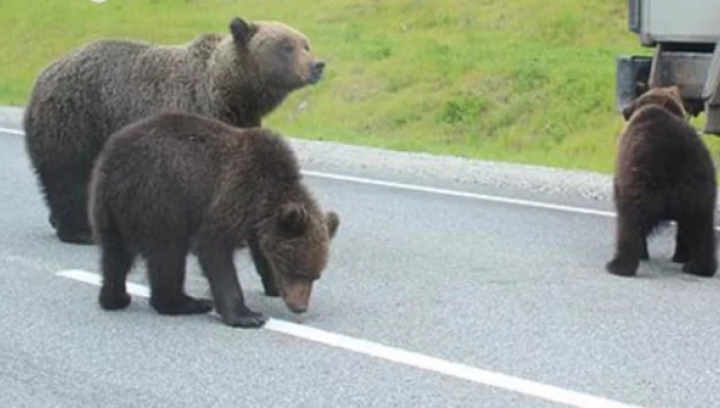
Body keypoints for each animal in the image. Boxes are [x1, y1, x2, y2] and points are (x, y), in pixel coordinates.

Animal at [23, 17, 324, 244]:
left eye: (305, 44)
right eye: (287, 46)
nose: (317, 66)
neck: (234, 95)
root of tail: (43, 75)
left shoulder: (241, 122)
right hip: (77, 119)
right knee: (69, 175)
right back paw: (78, 230)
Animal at [88, 111, 340, 328]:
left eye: (315, 276)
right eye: (296, 270)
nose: (300, 307)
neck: (264, 196)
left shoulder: (256, 221)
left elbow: (261, 251)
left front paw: (272, 286)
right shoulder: (235, 193)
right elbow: (214, 246)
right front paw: (247, 316)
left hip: (109, 208)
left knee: (114, 254)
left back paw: (115, 298)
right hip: (159, 198)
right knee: (167, 253)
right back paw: (186, 303)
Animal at [604, 85, 716, 278]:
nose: (625, 110)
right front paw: (680, 256)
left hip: (640, 182)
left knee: (629, 222)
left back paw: (619, 265)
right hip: (700, 190)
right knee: (701, 229)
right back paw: (699, 267)